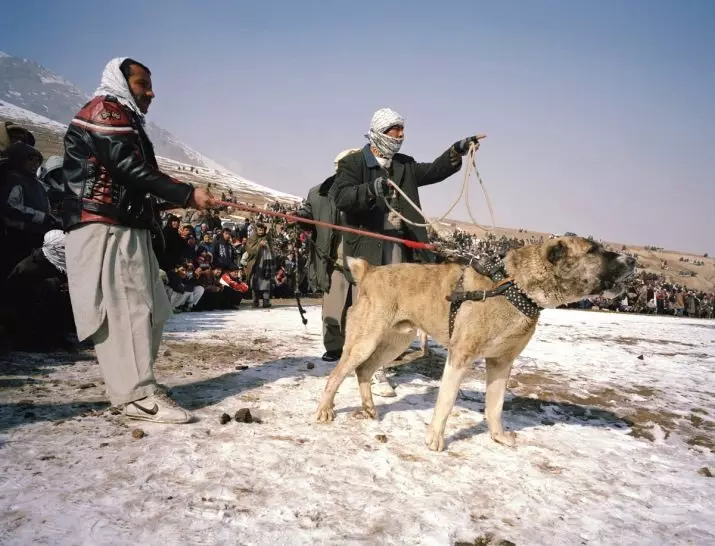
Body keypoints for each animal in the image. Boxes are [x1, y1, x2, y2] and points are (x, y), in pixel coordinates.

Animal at [318, 236, 636, 448]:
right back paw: (324, 411)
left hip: (396, 340)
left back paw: (369, 408)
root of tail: (370, 271)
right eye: (593, 250)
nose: (632, 260)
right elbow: (446, 400)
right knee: (336, 375)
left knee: (364, 370)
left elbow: (495, 405)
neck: (514, 287)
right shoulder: (460, 356)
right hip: (366, 339)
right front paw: (435, 439)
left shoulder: (501, 363)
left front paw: (499, 436)